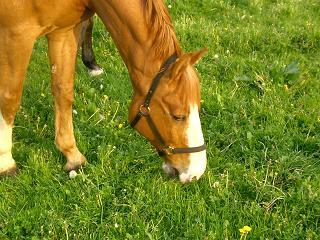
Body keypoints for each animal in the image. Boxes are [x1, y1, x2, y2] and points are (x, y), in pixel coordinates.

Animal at [0, 0, 208, 184]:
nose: (196, 172)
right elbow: (10, 98)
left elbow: (63, 91)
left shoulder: (63, 31)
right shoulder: (17, 34)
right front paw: (6, 162)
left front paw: (72, 155)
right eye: (178, 116)